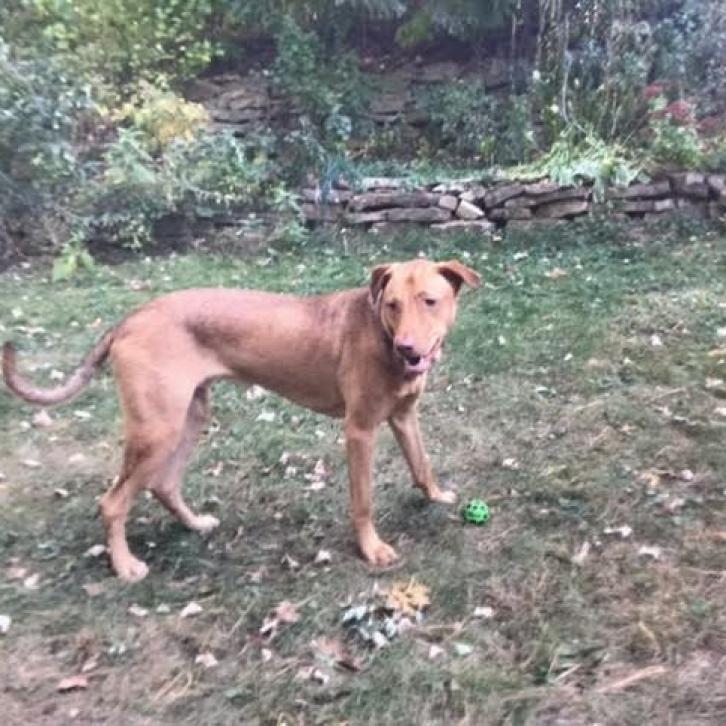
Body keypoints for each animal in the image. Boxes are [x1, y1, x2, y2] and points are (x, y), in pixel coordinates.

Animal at [5, 258, 484, 584]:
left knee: (163, 483)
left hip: (189, 418)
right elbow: (363, 501)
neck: (380, 336)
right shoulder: (360, 431)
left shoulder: (404, 417)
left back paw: (194, 525)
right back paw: (125, 566)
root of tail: (131, 319)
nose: (408, 349)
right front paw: (372, 549)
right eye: (392, 305)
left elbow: (422, 464)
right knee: (112, 502)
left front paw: (437, 497)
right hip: (156, 429)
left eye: (430, 301)